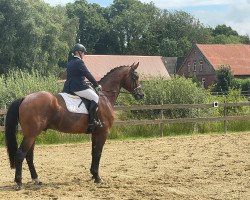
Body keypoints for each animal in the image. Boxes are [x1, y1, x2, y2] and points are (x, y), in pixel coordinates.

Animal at [4, 62, 144, 189]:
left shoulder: (95, 133)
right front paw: (98, 177)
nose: (141, 95)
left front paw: (93, 175)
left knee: (29, 155)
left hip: (32, 134)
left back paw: (36, 179)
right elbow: (98, 153)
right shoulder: (103, 132)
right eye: (135, 77)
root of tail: (25, 98)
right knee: (20, 154)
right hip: (31, 134)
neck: (104, 97)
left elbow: (93, 152)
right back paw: (19, 182)